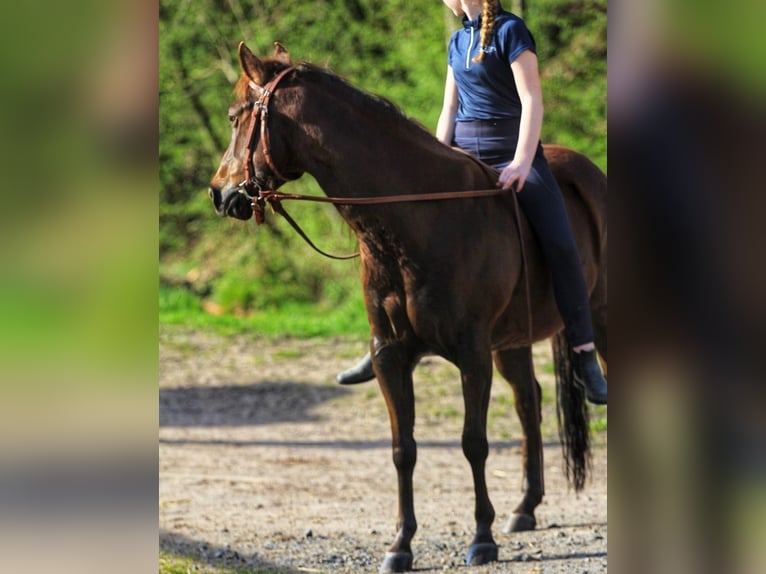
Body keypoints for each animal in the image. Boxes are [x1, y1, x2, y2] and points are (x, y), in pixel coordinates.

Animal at [208, 42, 608, 572]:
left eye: (235, 117)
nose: (219, 193)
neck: (416, 220)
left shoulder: (472, 355)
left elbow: (473, 442)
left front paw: (481, 537)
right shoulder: (391, 356)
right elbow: (403, 449)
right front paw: (401, 544)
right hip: (512, 342)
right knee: (529, 401)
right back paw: (525, 507)